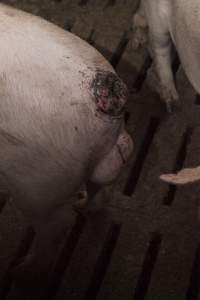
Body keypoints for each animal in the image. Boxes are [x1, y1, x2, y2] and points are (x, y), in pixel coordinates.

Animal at [0, 4, 134, 272]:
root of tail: (109, 94)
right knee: (101, 190)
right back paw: (82, 205)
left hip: (37, 185)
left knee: (58, 226)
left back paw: (21, 268)